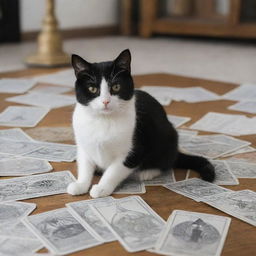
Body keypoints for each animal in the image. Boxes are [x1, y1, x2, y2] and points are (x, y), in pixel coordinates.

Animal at [67, 49, 215, 198]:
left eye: (116, 87)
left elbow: (114, 171)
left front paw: (102, 188)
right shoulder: (83, 145)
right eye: (92, 89)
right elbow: (85, 166)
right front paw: (81, 184)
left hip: (168, 137)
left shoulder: (134, 150)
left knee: (166, 161)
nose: (105, 101)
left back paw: (147, 172)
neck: (104, 120)